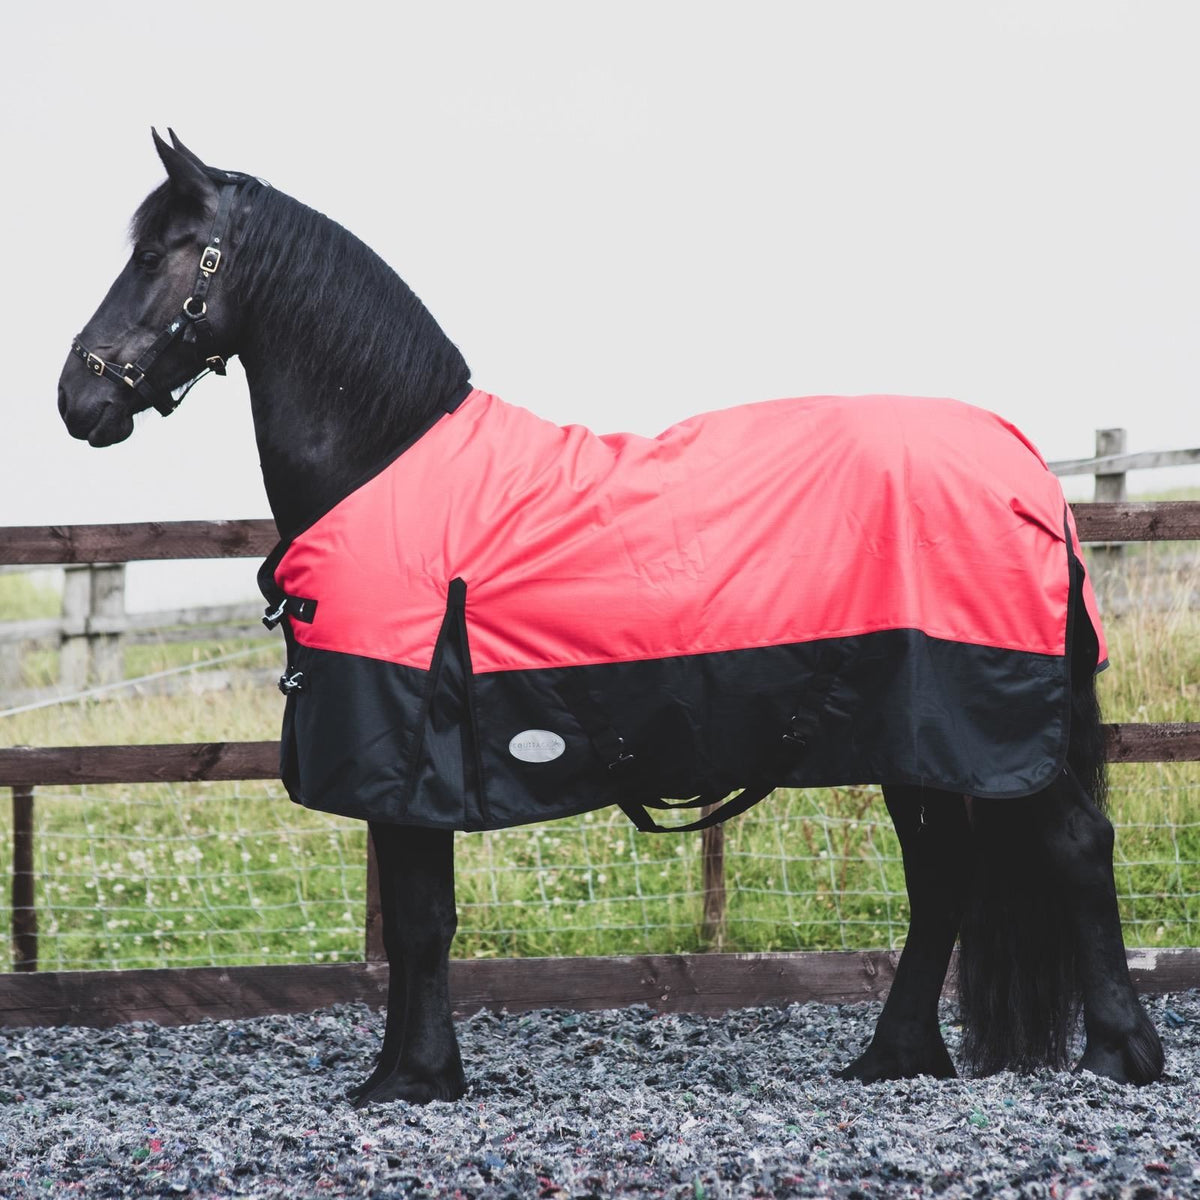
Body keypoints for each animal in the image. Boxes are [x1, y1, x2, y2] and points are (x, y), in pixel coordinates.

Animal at [56, 130, 1164, 1105]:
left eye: (156, 255)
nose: (76, 398)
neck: (386, 462)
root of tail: (1026, 472)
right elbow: (419, 926)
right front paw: (407, 1074)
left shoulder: (410, 755)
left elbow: (419, 923)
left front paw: (411, 1081)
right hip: (918, 746)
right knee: (942, 881)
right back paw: (894, 1058)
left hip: (989, 735)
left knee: (1075, 846)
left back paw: (1119, 1057)